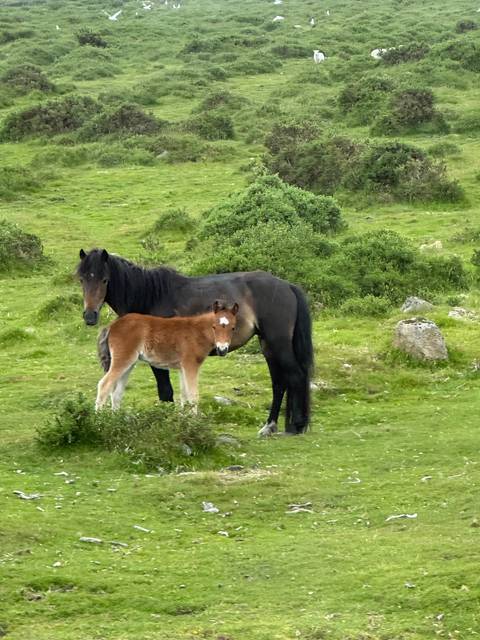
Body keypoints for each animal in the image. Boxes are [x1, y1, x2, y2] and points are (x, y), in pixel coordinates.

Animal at [95, 301, 238, 412]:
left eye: (233, 328)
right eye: (214, 327)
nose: (222, 350)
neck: (197, 332)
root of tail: (112, 326)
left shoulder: (183, 368)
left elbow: (184, 395)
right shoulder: (191, 365)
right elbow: (193, 396)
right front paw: (194, 422)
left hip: (130, 363)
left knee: (116, 393)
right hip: (123, 359)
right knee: (104, 385)